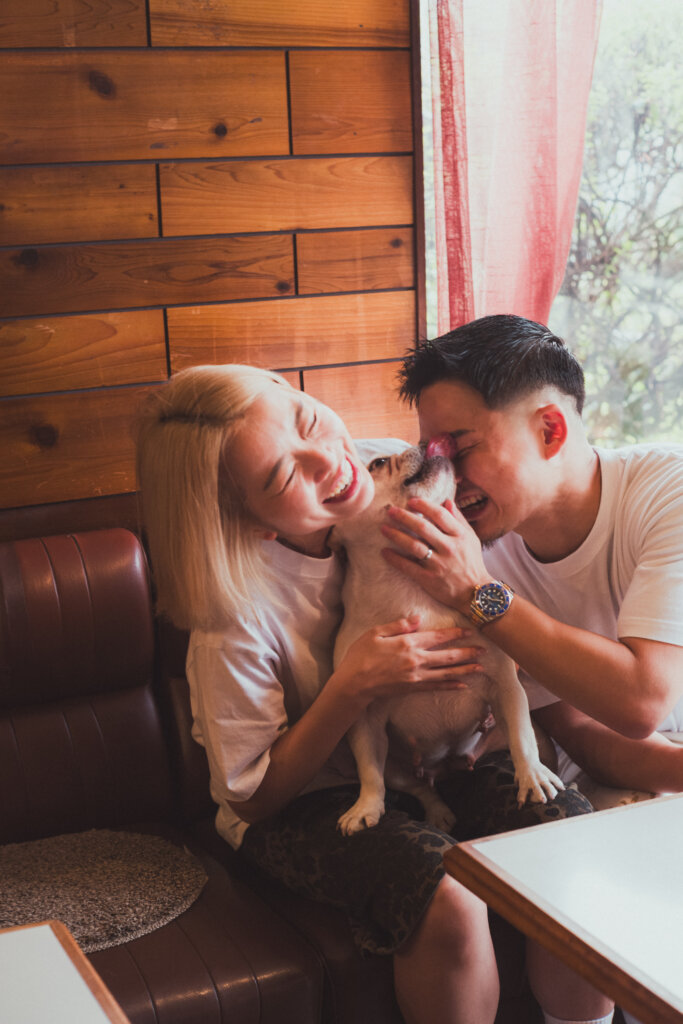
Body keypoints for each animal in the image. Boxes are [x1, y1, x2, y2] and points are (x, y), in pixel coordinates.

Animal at [332, 445, 564, 835]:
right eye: (378, 464)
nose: (425, 443)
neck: (412, 589)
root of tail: (448, 767)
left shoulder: (505, 686)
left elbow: (521, 736)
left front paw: (532, 777)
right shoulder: (363, 715)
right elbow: (369, 771)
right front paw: (364, 807)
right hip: (399, 767)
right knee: (419, 786)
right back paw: (439, 812)